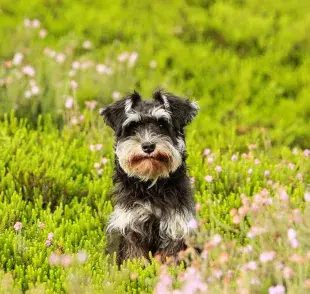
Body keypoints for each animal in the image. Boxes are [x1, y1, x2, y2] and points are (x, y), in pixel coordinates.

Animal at [100, 88, 200, 262]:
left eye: (161, 124)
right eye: (133, 126)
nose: (148, 146)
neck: (151, 185)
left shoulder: (174, 227)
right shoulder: (131, 227)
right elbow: (135, 258)